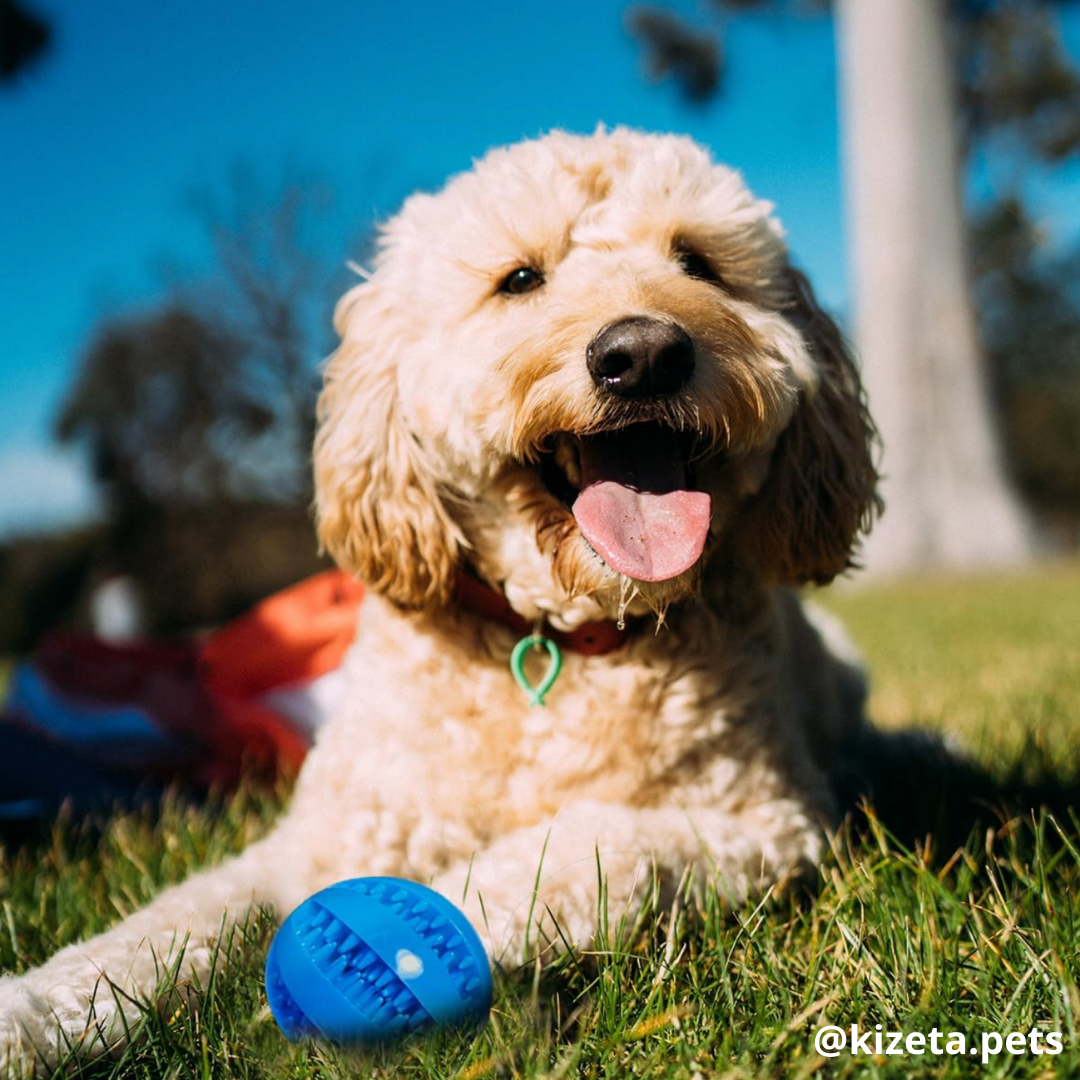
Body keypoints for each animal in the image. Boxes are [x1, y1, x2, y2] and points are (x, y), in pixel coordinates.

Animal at [0, 124, 876, 1062]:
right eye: (519, 279)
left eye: (698, 262)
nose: (642, 355)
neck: (556, 640)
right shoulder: (314, 842)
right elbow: (168, 926)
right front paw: (34, 1012)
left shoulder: (758, 821)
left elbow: (576, 851)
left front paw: (400, 939)